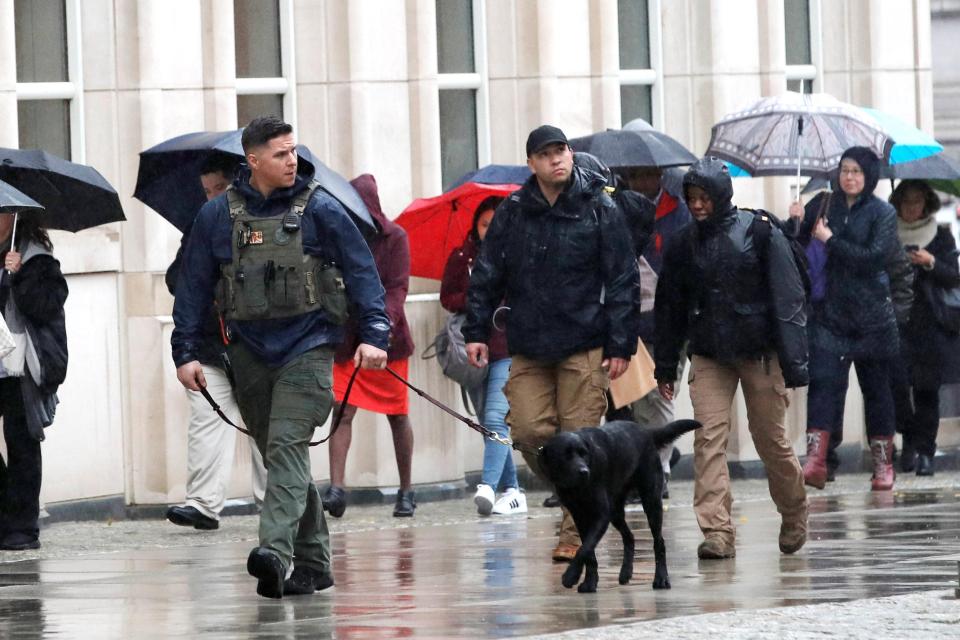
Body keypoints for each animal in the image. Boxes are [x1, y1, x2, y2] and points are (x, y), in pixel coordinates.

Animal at [536, 420, 700, 596]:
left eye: (583, 454)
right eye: (566, 455)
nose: (584, 471)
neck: (577, 488)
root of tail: (645, 431)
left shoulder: (600, 515)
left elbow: (584, 548)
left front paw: (571, 576)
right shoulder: (579, 515)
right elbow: (588, 551)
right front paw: (590, 582)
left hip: (651, 502)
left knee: (659, 542)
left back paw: (661, 578)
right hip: (615, 511)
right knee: (630, 537)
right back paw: (626, 572)